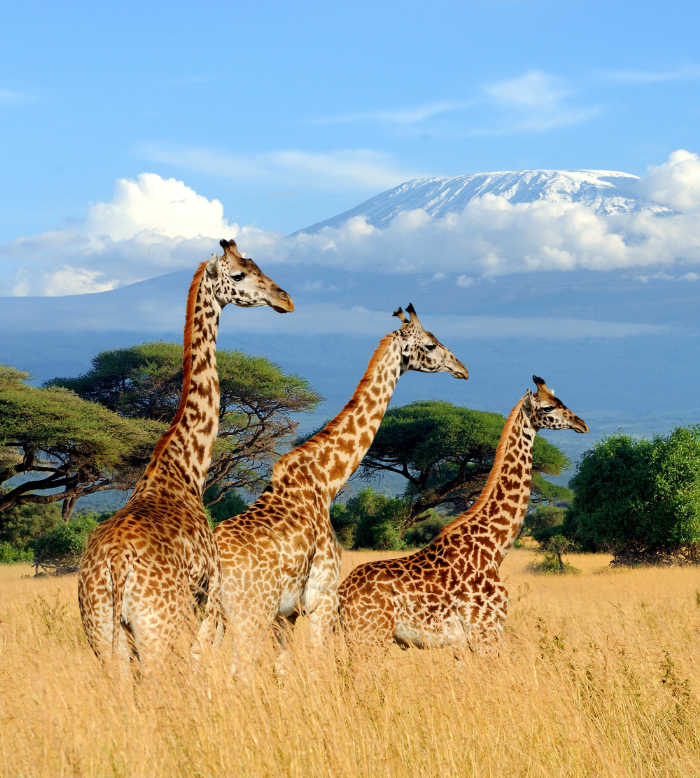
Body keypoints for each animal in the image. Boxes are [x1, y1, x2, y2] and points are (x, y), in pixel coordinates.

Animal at [77, 238, 292, 672]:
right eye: (239, 274)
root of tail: (115, 564)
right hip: (156, 627)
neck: (186, 466)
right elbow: (201, 661)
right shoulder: (210, 593)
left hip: (102, 632)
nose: (285, 299)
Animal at [213, 304, 464, 672]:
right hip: (250, 613)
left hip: (209, 614)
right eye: (430, 345)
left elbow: (283, 668)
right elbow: (317, 666)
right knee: (238, 669)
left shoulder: (287, 615)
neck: (327, 481)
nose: (462, 370)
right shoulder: (323, 599)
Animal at [336, 372, 588, 668]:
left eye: (561, 401)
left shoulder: (463, 642)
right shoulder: (485, 631)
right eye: (548, 407)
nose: (581, 424)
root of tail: (340, 594)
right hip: (369, 636)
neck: (494, 547)